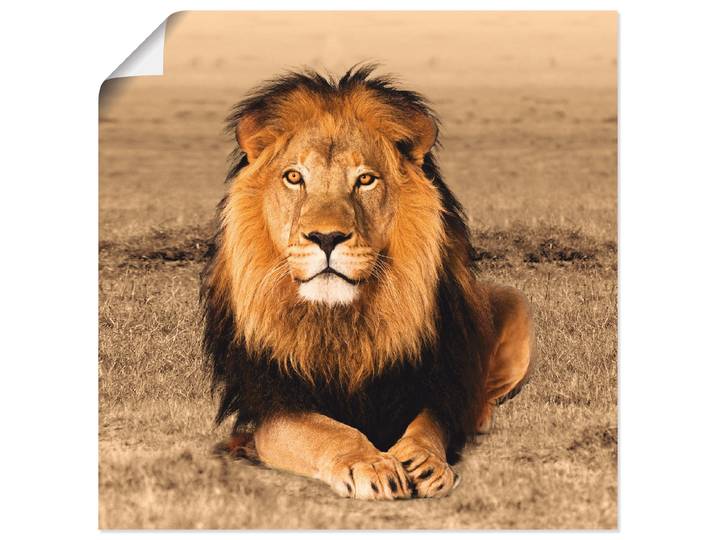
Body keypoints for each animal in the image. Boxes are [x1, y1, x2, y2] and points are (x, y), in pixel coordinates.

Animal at [201, 65, 534, 500]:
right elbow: (327, 431)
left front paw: (423, 461)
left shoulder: (428, 384)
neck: (340, 320)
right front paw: (371, 464)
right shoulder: (274, 403)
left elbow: (429, 425)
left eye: (365, 180)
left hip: (514, 302)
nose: (326, 237)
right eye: (294, 177)